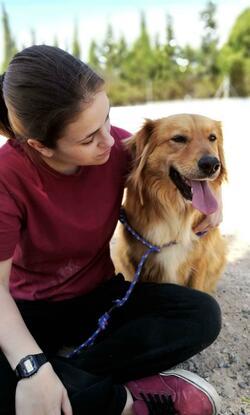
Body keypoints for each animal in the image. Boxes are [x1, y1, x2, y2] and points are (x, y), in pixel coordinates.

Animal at [113, 114, 229, 292]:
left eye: (212, 138)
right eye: (179, 138)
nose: (211, 164)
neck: (176, 211)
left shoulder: (201, 260)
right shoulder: (134, 259)